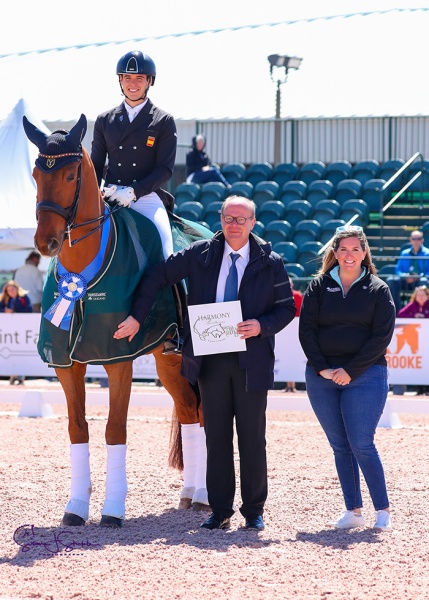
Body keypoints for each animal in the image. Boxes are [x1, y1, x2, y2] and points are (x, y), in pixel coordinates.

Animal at [22, 112, 210, 524]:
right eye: (36, 174)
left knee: (205, 412)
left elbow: (114, 430)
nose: (46, 243)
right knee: (189, 410)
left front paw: (112, 510)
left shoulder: (118, 358)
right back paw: (189, 493)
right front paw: (76, 508)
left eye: (71, 175)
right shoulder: (67, 364)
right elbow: (78, 429)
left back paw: (204, 494)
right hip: (167, 358)